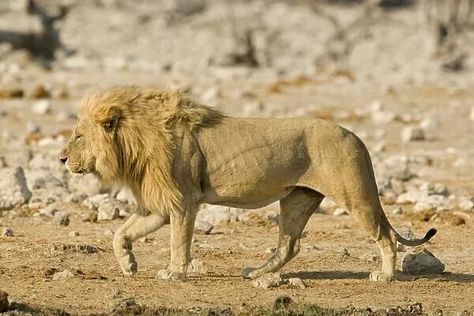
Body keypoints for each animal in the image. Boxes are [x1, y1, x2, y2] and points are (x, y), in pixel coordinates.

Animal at [59, 86, 436, 282]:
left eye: (77, 136)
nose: (61, 159)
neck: (136, 142)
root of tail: (355, 136)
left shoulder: (183, 200)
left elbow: (178, 243)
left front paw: (174, 273)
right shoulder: (160, 205)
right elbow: (120, 233)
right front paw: (129, 265)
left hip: (354, 195)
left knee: (385, 235)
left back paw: (384, 276)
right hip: (298, 199)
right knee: (288, 246)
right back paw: (256, 273)